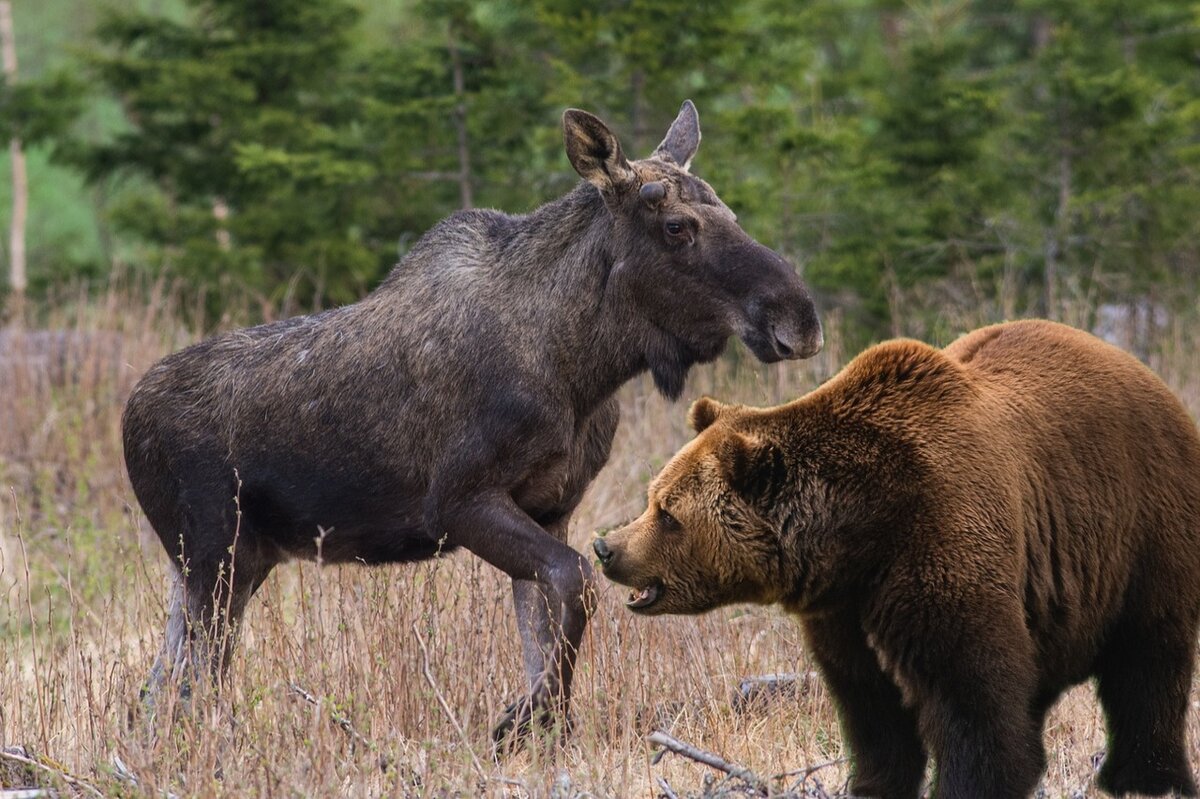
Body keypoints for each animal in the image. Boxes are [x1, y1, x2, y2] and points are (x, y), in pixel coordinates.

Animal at [126, 97, 825, 739]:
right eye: (678, 226)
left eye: (730, 212)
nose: (799, 317)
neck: (582, 367)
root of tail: (129, 420)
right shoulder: (457, 502)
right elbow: (576, 583)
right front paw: (521, 719)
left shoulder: (551, 507)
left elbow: (545, 621)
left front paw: (544, 727)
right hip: (215, 552)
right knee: (194, 683)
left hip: (223, 562)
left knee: (159, 685)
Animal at [592, 319, 1200, 796]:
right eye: (653, 497)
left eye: (668, 512)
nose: (606, 547)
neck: (860, 533)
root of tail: (1150, 378)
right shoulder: (844, 609)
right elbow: (872, 710)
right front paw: (873, 783)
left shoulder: (940, 542)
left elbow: (971, 699)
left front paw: (972, 782)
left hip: (1141, 527)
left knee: (1148, 663)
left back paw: (1143, 776)